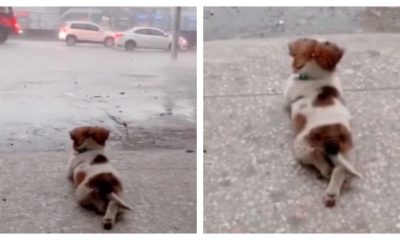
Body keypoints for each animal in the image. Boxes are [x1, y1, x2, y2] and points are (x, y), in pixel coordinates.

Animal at [282, 38, 362, 207]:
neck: (315, 76)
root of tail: (331, 135)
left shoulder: (287, 96)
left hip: (301, 145)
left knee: (318, 159)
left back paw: (325, 175)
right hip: (348, 152)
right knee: (340, 170)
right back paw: (332, 193)